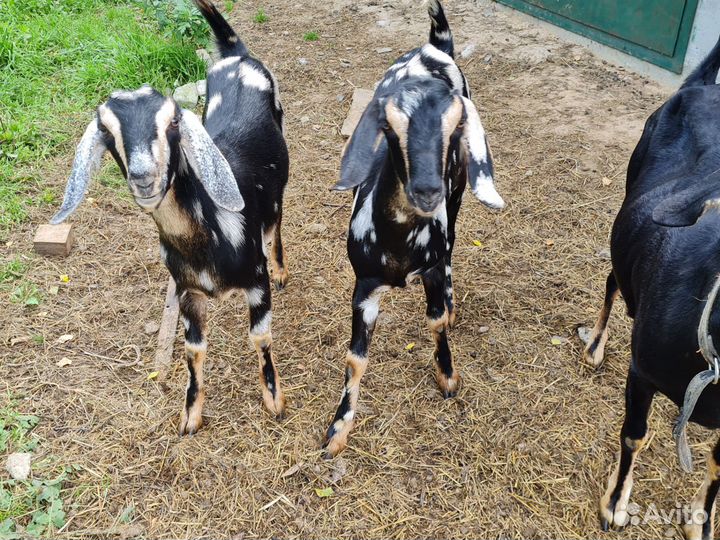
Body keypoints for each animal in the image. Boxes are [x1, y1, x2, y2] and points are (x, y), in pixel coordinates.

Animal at [50, 0, 289, 434]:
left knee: (276, 221)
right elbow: (193, 349)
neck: (209, 237)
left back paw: (282, 268)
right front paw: (190, 415)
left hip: (279, 179)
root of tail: (236, 55)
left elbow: (260, 338)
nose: (144, 176)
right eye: (106, 130)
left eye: (174, 120)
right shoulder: (186, 290)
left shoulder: (255, 280)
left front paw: (274, 400)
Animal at [322, 0, 504, 458]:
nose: (426, 191)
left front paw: (448, 378)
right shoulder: (364, 284)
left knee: (454, 244)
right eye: (387, 127)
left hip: (457, 199)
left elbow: (436, 321)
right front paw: (337, 430)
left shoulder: (433, 268)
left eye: (457, 127)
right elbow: (355, 357)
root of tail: (434, 44)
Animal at [583, 37, 720, 539]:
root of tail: (701, 85)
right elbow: (634, 435)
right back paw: (595, 345)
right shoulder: (642, 372)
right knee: (613, 281)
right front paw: (614, 505)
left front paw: (701, 523)